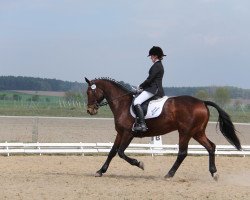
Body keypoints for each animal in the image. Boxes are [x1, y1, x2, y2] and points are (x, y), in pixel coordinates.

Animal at [85, 77, 241, 179]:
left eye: (89, 92)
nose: (90, 110)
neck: (122, 103)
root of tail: (202, 102)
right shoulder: (120, 133)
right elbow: (112, 152)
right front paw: (100, 171)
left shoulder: (128, 133)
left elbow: (121, 153)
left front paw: (139, 164)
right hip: (197, 132)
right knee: (211, 147)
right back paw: (214, 172)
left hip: (185, 132)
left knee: (182, 153)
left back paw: (169, 174)